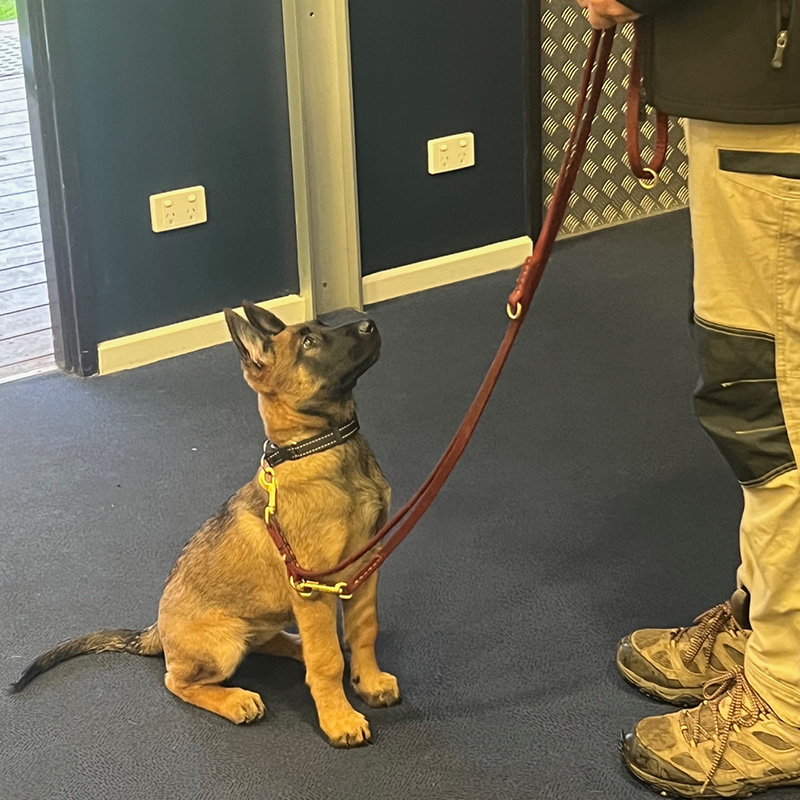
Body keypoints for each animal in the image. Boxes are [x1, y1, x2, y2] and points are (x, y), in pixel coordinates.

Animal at [10, 304, 398, 748]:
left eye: (319, 328)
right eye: (309, 343)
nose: (371, 325)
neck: (323, 449)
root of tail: (156, 630)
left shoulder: (364, 568)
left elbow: (363, 630)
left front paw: (369, 682)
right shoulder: (312, 588)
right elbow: (327, 660)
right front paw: (339, 718)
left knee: (272, 640)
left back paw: (296, 645)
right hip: (222, 645)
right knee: (177, 681)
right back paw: (236, 700)